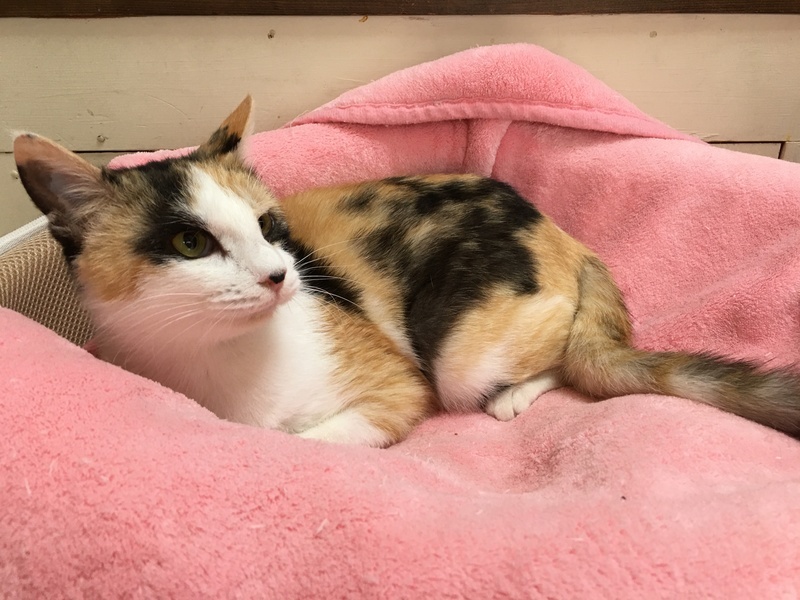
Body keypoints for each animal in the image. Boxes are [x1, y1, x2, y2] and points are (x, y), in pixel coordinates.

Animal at [13, 96, 800, 447]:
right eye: (189, 243)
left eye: (269, 228)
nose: (279, 275)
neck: (215, 362)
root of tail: (569, 238)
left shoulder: (398, 387)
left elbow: (304, 442)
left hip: (462, 353)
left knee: (561, 362)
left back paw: (513, 399)